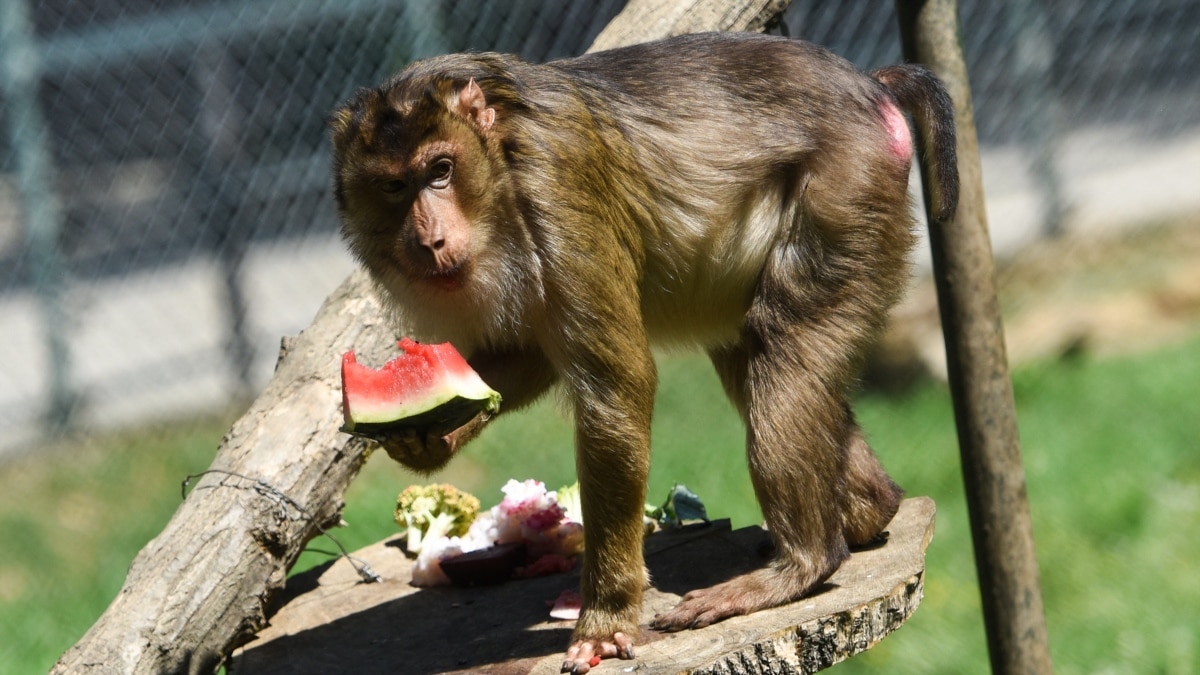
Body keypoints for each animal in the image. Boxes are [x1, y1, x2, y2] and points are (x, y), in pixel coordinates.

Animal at [333, 31, 960, 672]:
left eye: (440, 171)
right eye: (394, 187)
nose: (428, 240)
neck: (499, 162)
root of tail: (869, 88)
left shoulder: (556, 178)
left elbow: (616, 389)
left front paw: (606, 618)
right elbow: (525, 353)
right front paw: (424, 439)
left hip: (848, 187)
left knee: (782, 342)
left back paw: (804, 564)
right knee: (751, 349)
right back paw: (871, 510)